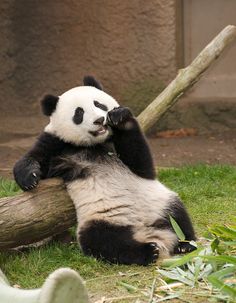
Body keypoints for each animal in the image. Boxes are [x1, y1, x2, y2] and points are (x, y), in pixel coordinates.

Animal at [13, 76, 196, 266]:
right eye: (79, 113)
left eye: (98, 104)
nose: (99, 120)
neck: (94, 145)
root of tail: (144, 230)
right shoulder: (57, 143)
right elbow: (36, 156)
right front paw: (29, 178)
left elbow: (141, 163)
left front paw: (120, 117)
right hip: (100, 219)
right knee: (107, 241)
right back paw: (147, 251)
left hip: (159, 202)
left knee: (178, 216)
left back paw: (184, 244)